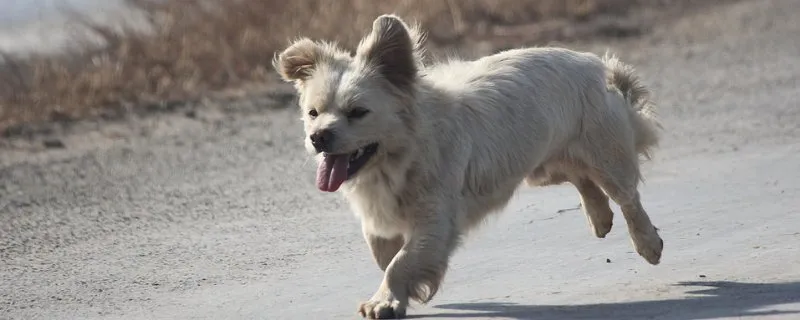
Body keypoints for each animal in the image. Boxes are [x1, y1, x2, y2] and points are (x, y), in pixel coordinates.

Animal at [274, 13, 664, 318]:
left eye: (357, 113)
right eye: (313, 113)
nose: (318, 137)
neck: (397, 159)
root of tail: (593, 63)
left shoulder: (436, 220)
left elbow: (401, 261)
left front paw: (385, 301)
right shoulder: (381, 219)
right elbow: (383, 253)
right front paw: (405, 291)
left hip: (606, 156)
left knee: (626, 196)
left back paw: (647, 243)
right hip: (542, 167)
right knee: (581, 178)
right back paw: (600, 218)